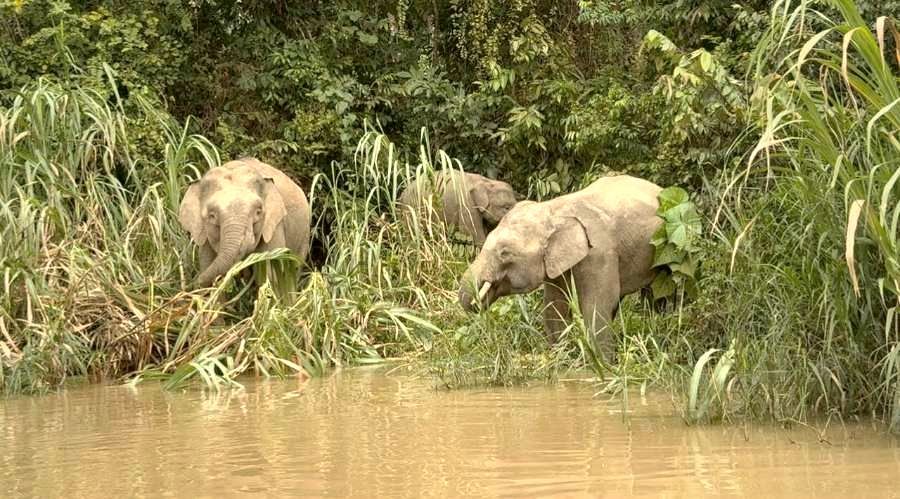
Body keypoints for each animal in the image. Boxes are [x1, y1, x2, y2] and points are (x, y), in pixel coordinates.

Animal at [178, 157, 311, 287]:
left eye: (258, 212)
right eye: (212, 216)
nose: (192, 282)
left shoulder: (274, 227)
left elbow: (271, 275)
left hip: (304, 235)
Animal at [458, 174, 664, 361]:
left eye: (504, 253)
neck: (553, 210)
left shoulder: (600, 255)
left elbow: (596, 307)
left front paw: (603, 366)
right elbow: (554, 305)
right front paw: (560, 359)